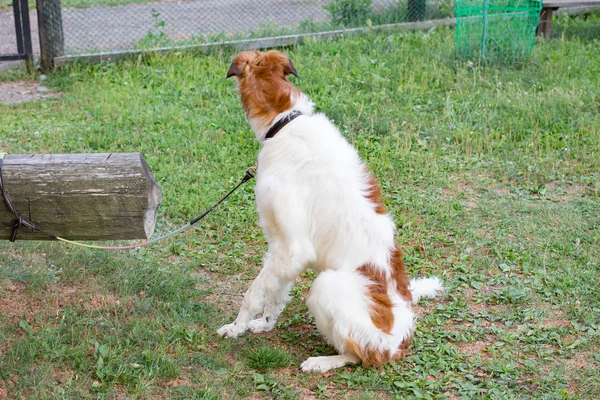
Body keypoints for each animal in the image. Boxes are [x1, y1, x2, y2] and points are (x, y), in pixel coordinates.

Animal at [218, 51, 442, 374]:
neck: (285, 121)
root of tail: (399, 341)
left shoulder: (294, 248)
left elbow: (252, 293)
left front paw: (236, 328)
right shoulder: (279, 245)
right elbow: (275, 293)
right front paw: (264, 324)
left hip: (326, 286)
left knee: (360, 355)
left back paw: (321, 361)